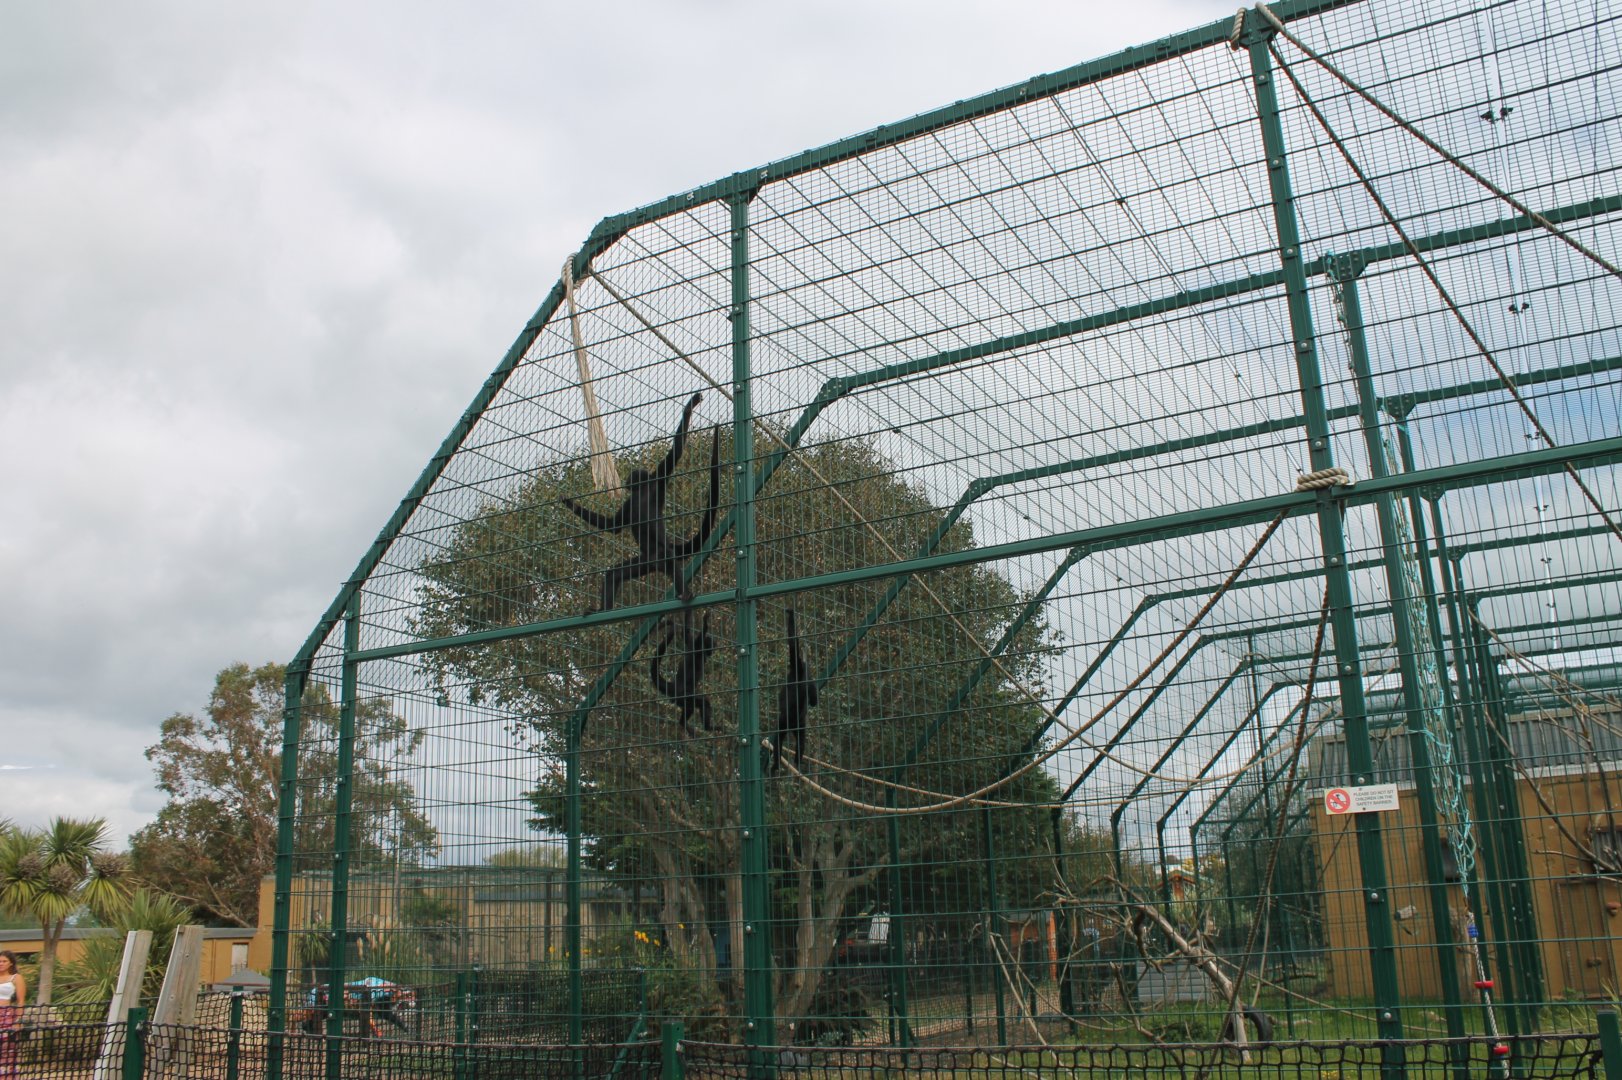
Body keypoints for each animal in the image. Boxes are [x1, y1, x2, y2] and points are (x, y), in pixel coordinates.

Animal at [561, 392, 722, 614]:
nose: (628, 479)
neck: (642, 490)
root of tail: (655, 561)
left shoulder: (658, 479)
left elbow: (677, 451)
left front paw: (690, 405)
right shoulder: (630, 502)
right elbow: (614, 526)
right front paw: (570, 504)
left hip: (660, 554)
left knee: (669, 557)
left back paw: (686, 593)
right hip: (646, 562)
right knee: (614, 574)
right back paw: (603, 610)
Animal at [771, 607, 819, 774]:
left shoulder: (797, 667)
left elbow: (792, 644)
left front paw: (790, 614)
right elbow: (814, 700)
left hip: (786, 721)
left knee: (778, 737)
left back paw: (775, 765)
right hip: (799, 725)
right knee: (801, 742)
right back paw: (798, 762)